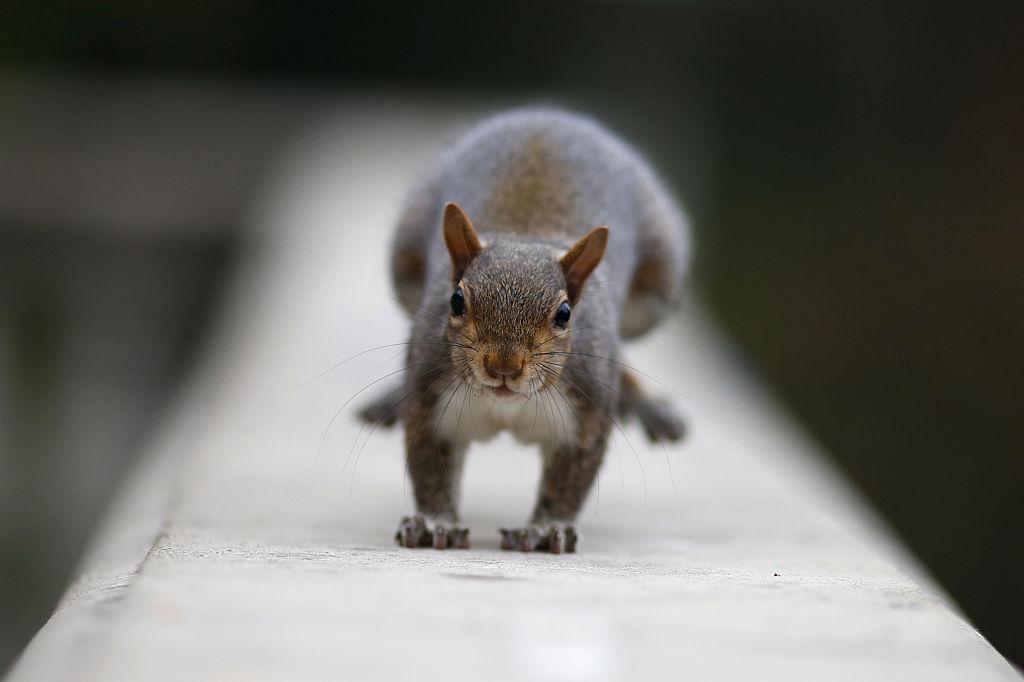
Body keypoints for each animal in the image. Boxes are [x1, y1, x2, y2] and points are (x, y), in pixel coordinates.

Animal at [358, 108, 691, 553]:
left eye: (564, 314)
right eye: (456, 301)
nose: (503, 367)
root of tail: (548, 115)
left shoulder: (587, 406)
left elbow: (569, 479)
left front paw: (545, 529)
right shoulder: (430, 394)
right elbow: (429, 464)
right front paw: (434, 522)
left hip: (655, 288)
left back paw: (646, 404)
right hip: (406, 261)